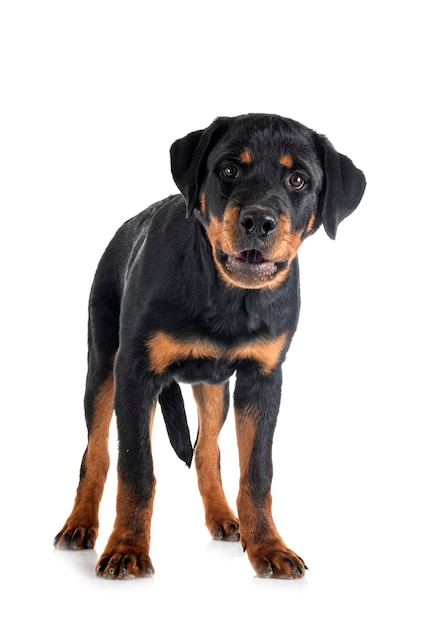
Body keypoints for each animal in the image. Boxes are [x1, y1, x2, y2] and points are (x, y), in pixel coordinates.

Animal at [54, 112, 366, 576]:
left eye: (298, 180)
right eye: (229, 169)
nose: (259, 220)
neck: (227, 296)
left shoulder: (263, 378)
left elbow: (257, 472)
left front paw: (269, 547)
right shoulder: (135, 373)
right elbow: (136, 467)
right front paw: (127, 548)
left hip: (214, 387)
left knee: (206, 451)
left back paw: (222, 517)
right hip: (103, 362)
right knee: (96, 452)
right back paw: (79, 525)